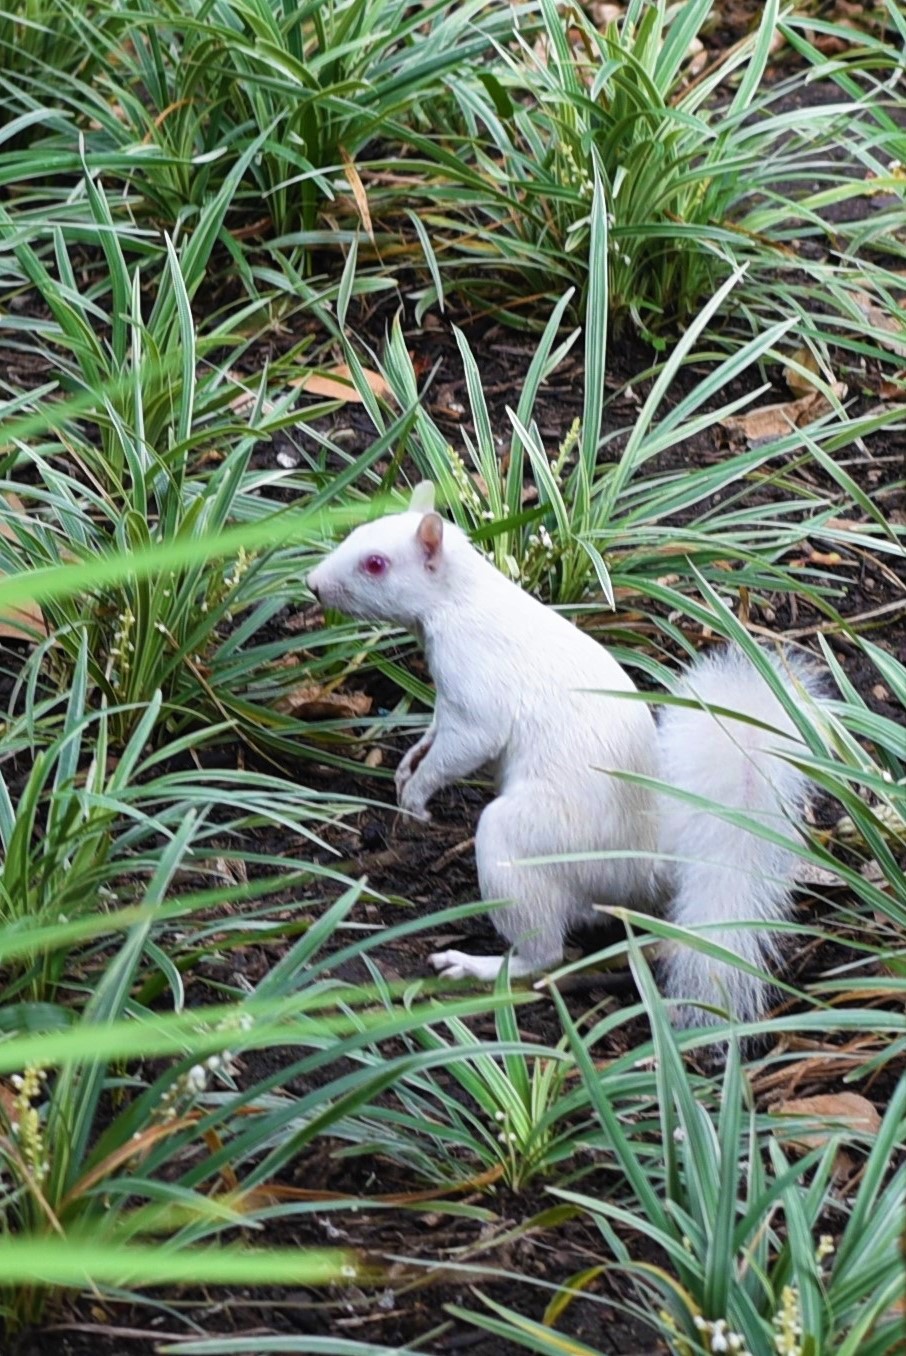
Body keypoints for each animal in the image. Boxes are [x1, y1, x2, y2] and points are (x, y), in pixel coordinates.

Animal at [307, 483, 823, 1026]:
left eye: (376, 563)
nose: (312, 584)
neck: (457, 599)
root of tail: (642, 865)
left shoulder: (476, 693)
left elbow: (466, 745)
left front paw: (417, 798)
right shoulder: (447, 703)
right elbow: (435, 732)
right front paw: (409, 764)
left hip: (529, 841)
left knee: (545, 952)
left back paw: (476, 965)